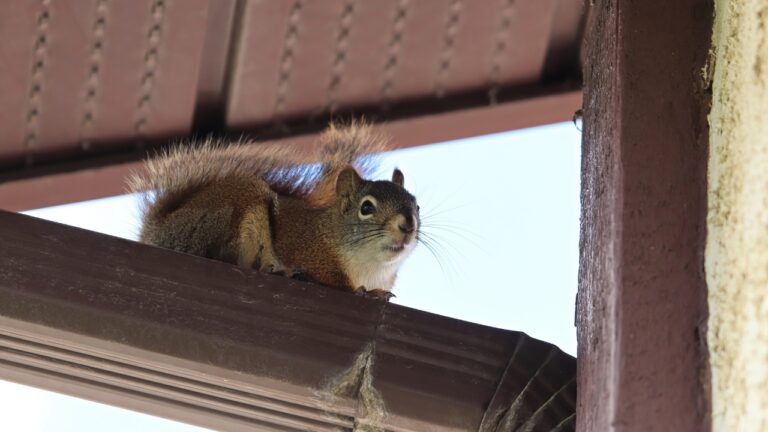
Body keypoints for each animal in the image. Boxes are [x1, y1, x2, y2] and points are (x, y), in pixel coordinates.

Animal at [128, 122, 419, 300]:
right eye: (366, 207)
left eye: (416, 205)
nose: (408, 225)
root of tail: (160, 231)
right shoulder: (312, 254)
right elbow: (337, 283)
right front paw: (365, 293)